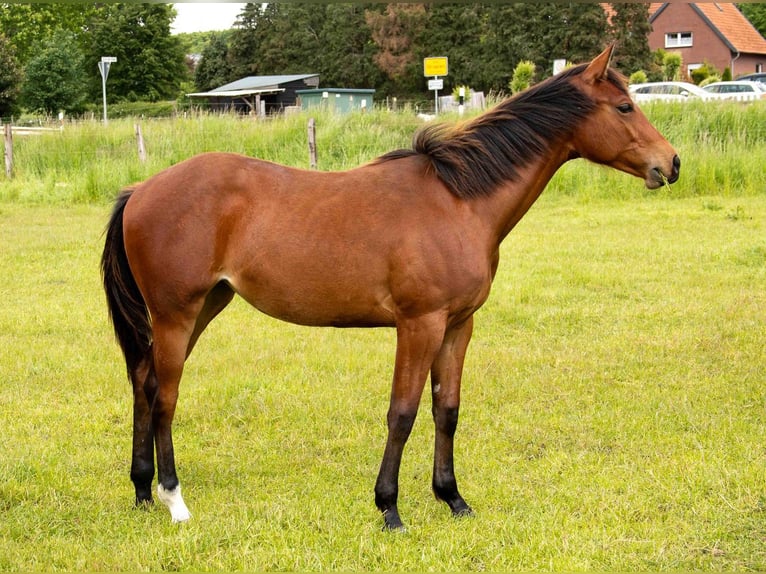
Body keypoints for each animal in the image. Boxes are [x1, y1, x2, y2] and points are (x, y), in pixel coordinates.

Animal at [101, 45, 679, 531]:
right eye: (624, 106)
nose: (670, 163)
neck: (458, 200)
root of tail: (140, 190)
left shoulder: (458, 326)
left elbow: (447, 410)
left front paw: (453, 498)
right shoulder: (418, 325)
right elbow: (401, 413)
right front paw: (390, 508)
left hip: (203, 308)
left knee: (145, 383)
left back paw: (142, 491)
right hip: (177, 314)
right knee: (166, 396)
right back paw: (174, 499)